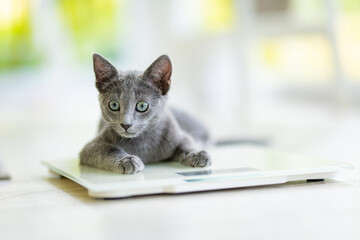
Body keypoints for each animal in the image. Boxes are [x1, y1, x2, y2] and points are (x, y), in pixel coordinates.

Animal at [79, 53, 211, 173]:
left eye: (142, 106)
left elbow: (186, 143)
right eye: (114, 105)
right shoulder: (89, 148)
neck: (142, 142)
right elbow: (109, 149)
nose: (126, 124)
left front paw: (197, 154)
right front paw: (126, 160)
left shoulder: (178, 134)